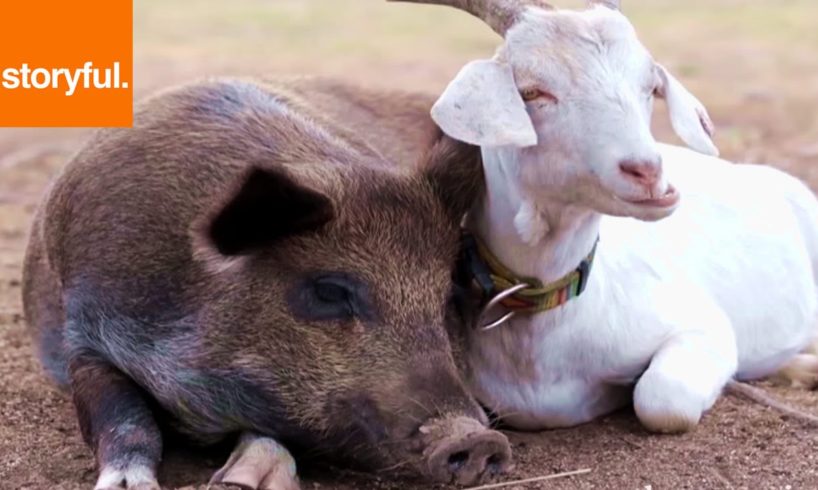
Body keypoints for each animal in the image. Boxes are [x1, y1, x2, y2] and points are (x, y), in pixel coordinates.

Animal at [22, 77, 506, 490]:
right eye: (328, 291)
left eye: (446, 297)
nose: (476, 439)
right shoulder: (81, 331)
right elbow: (120, 414)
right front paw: (130, 484)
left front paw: (240, 482)